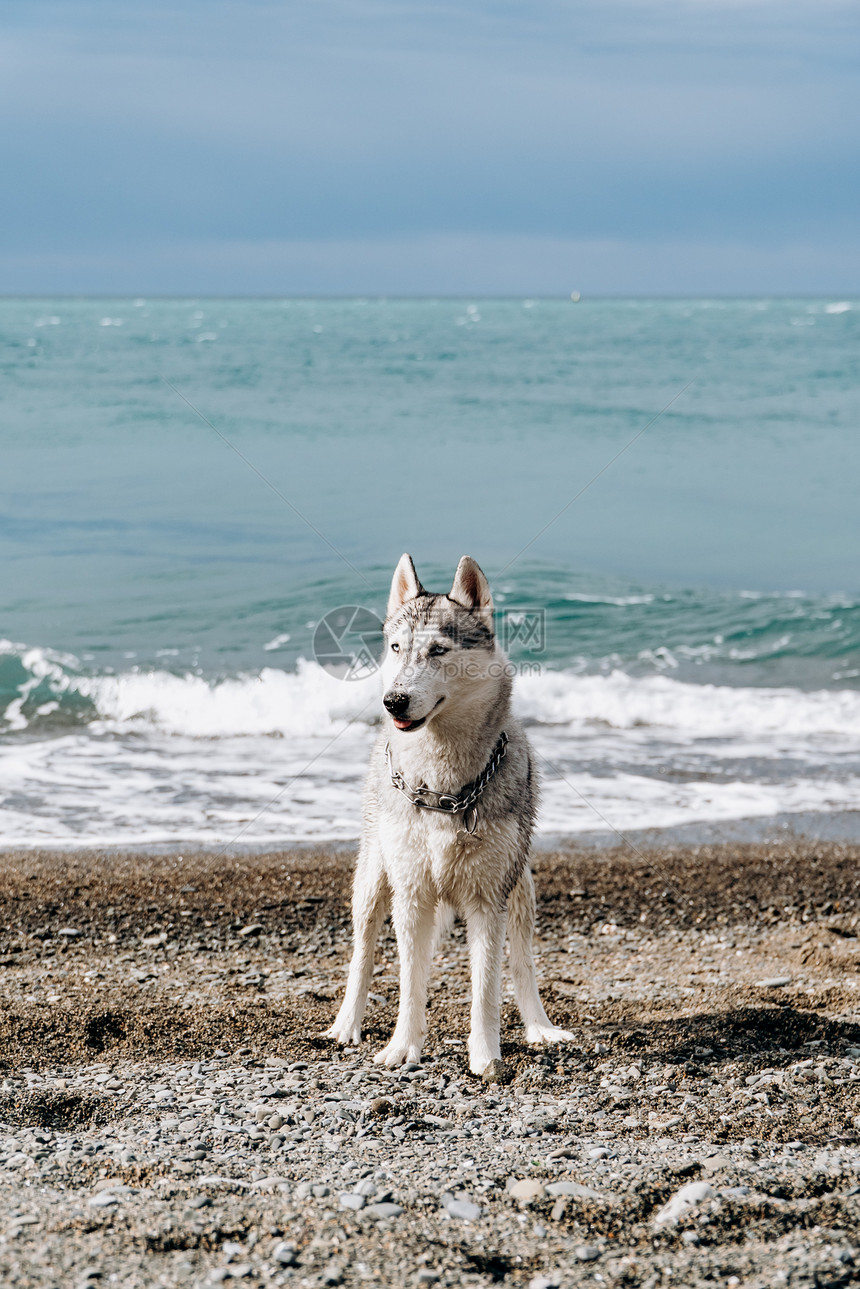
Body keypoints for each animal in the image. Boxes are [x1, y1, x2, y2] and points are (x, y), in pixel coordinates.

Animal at [324, 554, 572, 1077]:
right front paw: (403, 1047)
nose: (393, 701)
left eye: (438, 650)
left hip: (521, 888)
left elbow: (485, 989)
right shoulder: (412, 896)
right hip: (373, 881)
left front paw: (485, 1056)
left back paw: (540, 1028)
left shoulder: (487, 900)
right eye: (396, 648)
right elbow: (409, 984)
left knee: (522, 962)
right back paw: (346, 1025)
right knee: (362, 954)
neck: (444, 791)